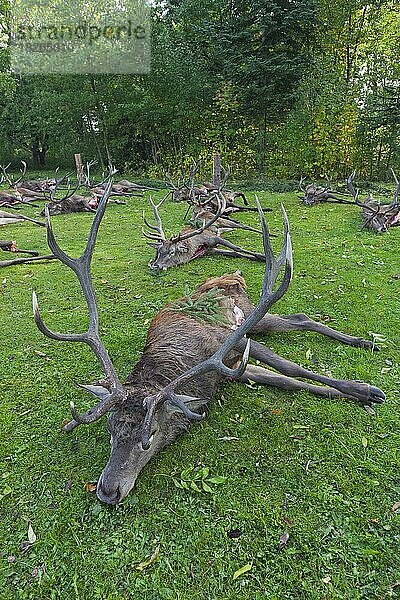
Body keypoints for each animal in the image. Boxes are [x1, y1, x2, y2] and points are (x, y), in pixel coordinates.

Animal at [33, 185, 384, 504]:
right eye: (109, 429)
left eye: (150, 436)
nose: (107, 491)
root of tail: (233, 277)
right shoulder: (237, 368)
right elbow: (288, 381)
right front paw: (352, 394)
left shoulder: (232, 340)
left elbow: (291, 368)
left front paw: (366, 389)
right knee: (299, 317)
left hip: (251, 316)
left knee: (300, 319)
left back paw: (365, 342)